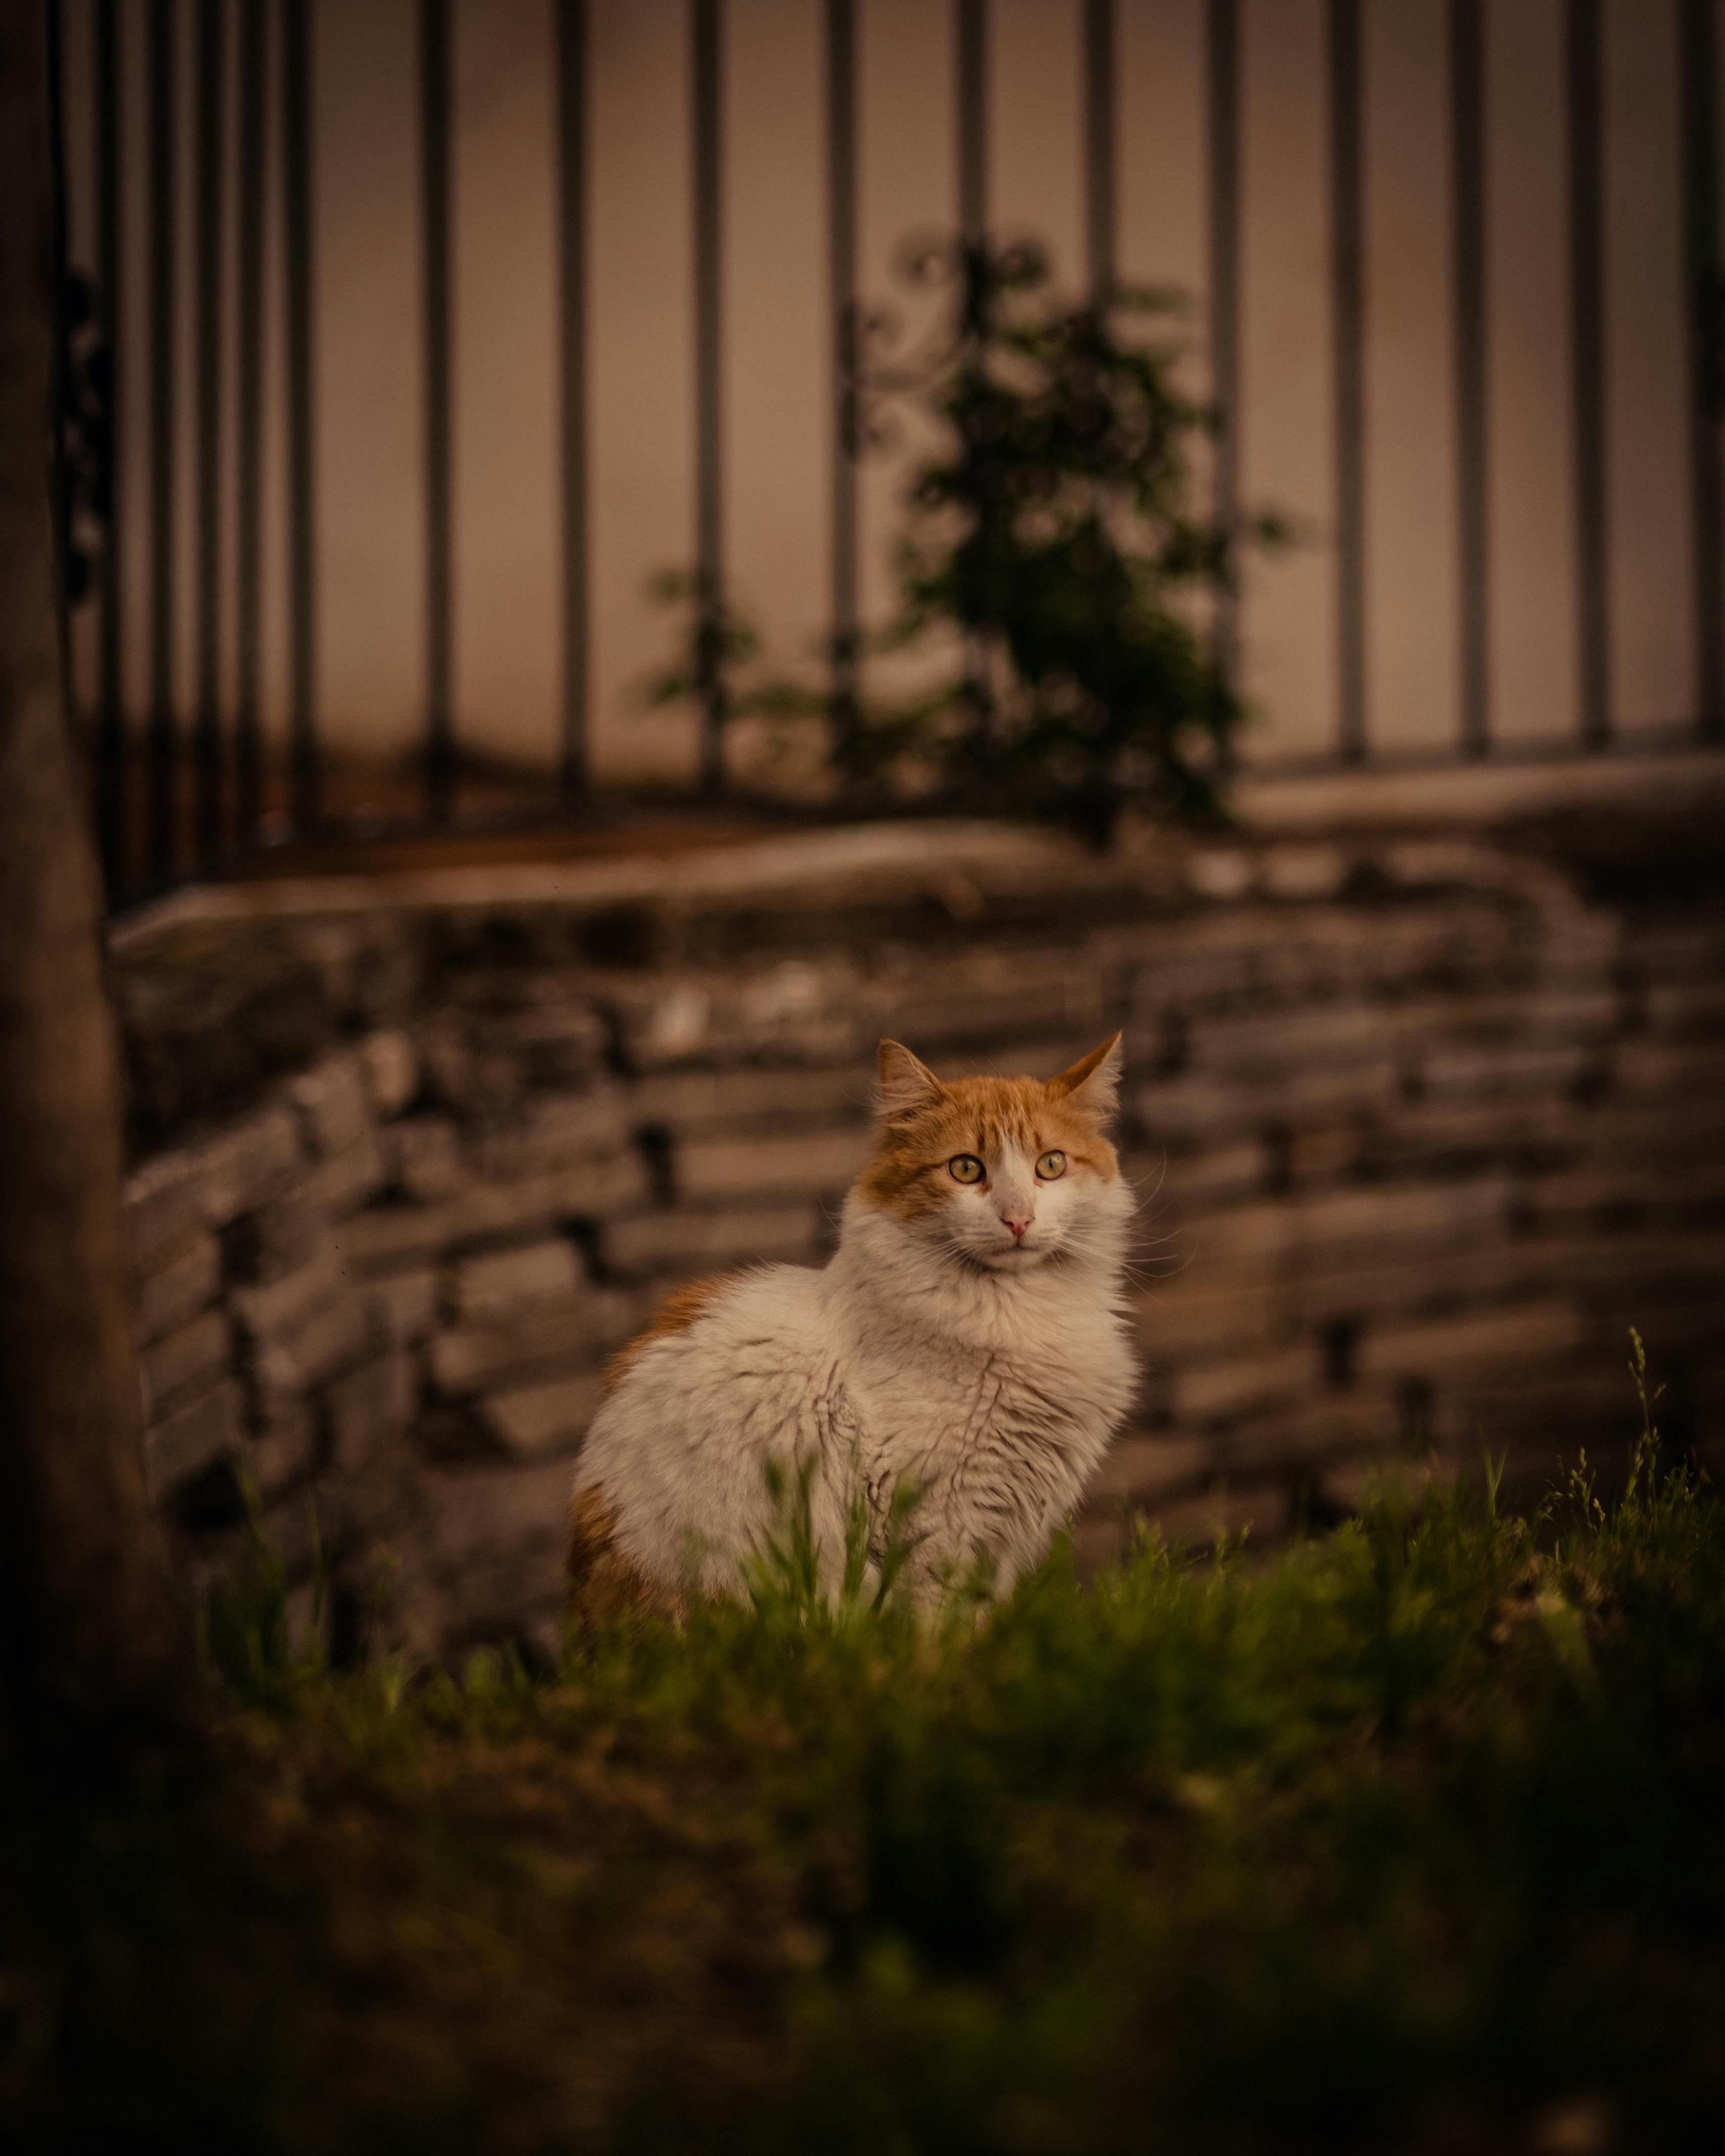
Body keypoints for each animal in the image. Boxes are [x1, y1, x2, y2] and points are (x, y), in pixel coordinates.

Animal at [560, 1030, 1129, 1621]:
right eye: (966, 1169)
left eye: (1051, 1165)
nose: (1018, 1219)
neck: (1016, 1309)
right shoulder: (934, 1526)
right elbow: (940, 1633)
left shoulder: (998, 1541)